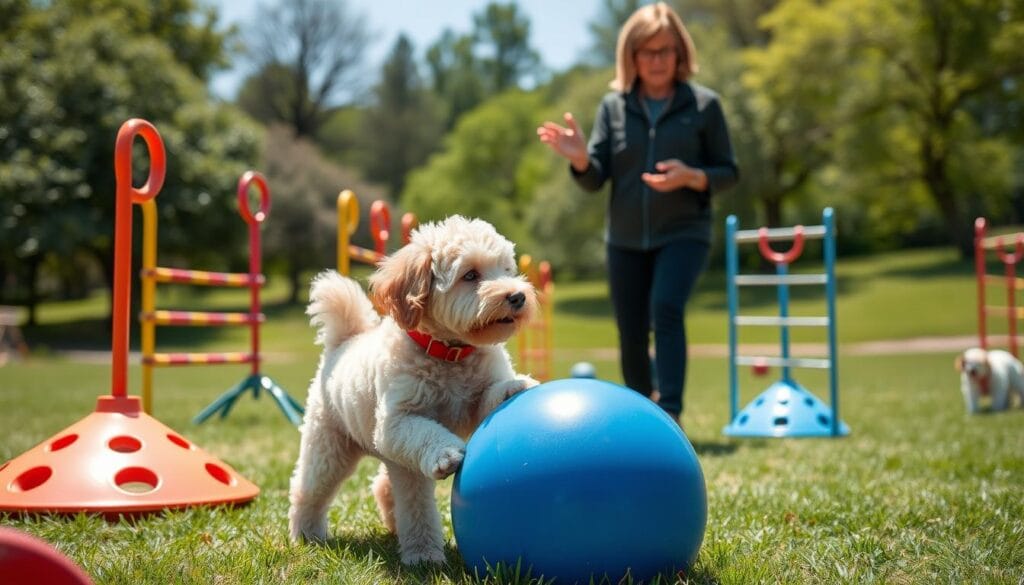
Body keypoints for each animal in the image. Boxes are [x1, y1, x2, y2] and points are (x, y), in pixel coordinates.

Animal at [288, 217, 540, 565]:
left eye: (505, 269)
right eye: (470, 275)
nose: (517, 296)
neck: (448, 353)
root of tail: (343, 343)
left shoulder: (467, 408)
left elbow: (487, 397)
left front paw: (515, 386)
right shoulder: (398, 424)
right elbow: (424, 466)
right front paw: (424, 555)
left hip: (390, 456)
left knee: (384, 487)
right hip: (330, 448)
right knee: (309, 489)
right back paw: (306, 534)